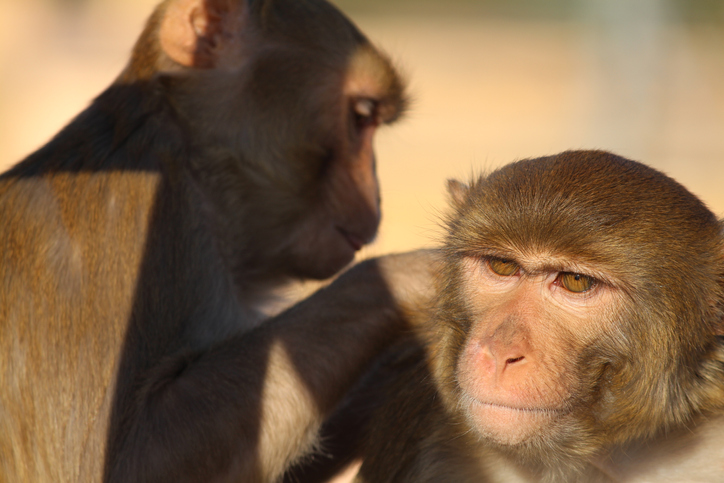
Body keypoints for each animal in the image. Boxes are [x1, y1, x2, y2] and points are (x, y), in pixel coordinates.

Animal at [0, 0, 438, 483]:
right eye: (362, 116)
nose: (376, 196)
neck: (200, 170)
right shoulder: (143, 224)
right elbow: (121, 461)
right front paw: (417, 276)